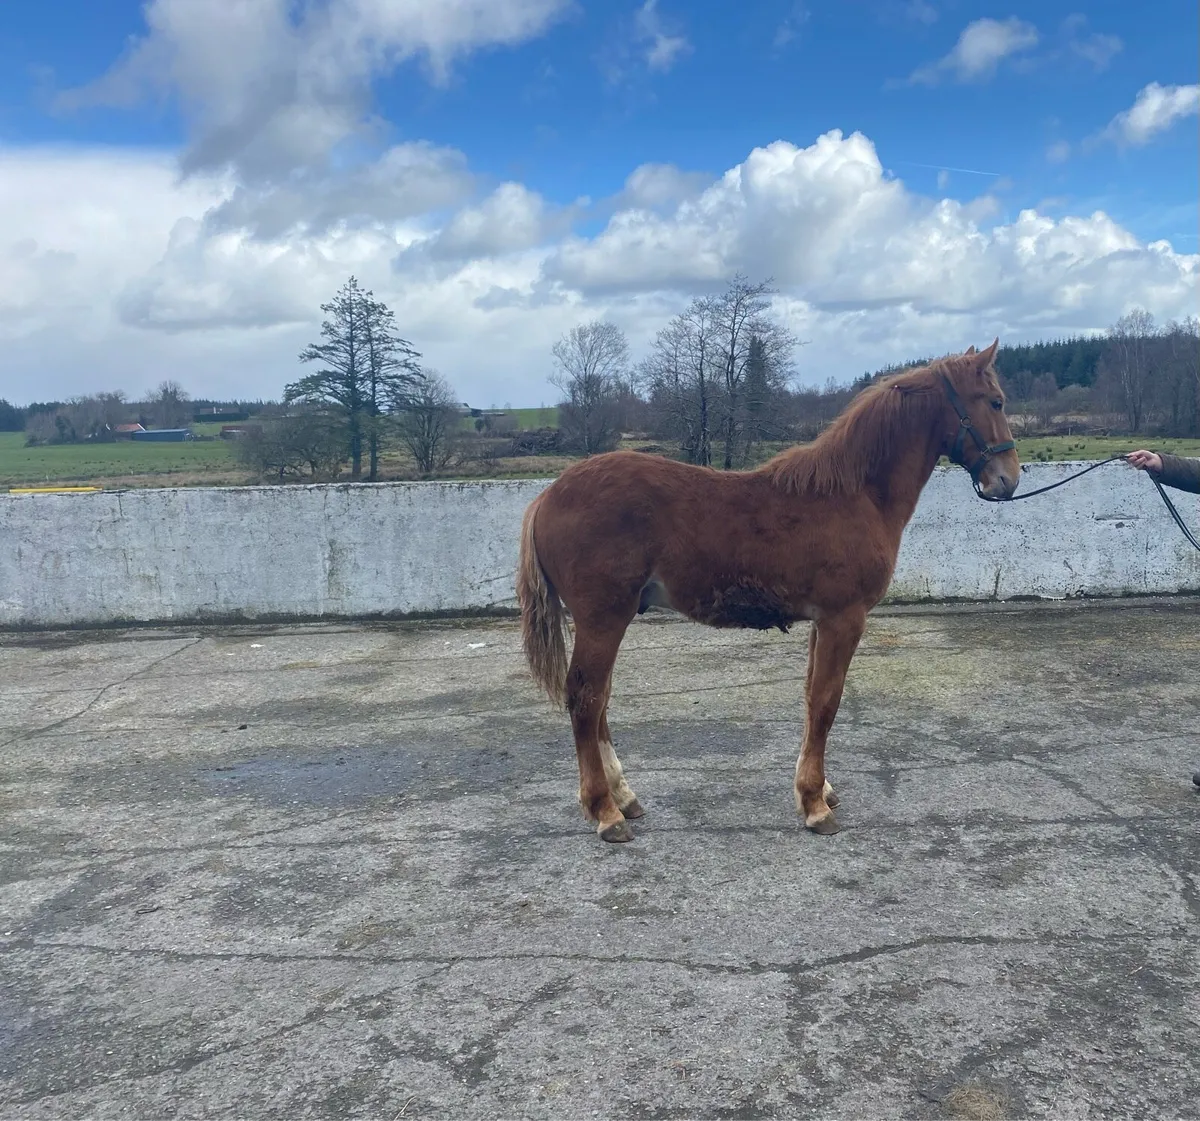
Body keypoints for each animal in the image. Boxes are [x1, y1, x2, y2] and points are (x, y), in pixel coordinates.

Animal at [516, 340, 1019, 842]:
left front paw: (818, 789)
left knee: (598, 699)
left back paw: (624, 797)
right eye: (995, 402)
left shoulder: (823, 620)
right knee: (586, 699)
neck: (855, 494)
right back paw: (605, 811)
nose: (1008, 480)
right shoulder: (844, 618)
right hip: (603, 619)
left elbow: (811, 697)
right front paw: (815, 805)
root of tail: (546, 496)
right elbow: (826, 703)